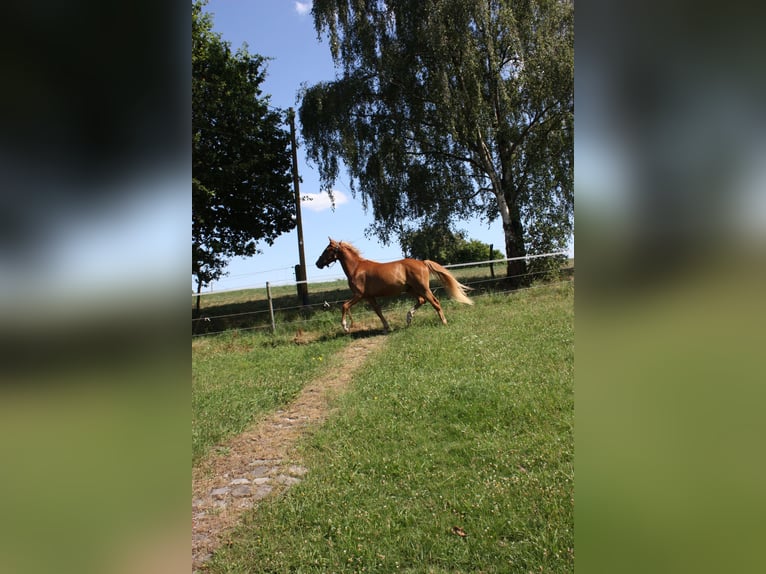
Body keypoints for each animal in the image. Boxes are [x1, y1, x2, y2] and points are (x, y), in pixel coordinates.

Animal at [315, 237, 473, 333]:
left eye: (327, 249)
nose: (318, 264)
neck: (356, 268)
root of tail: (422, 262)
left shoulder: (359, 295)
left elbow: (344, 306)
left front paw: (346, 327)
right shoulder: (369, 297)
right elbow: (378, 311)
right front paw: (386, 327)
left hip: (422, 288)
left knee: (435, 302)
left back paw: (443, 322)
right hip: (411, 289)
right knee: (421, 301)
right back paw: (409, 318)